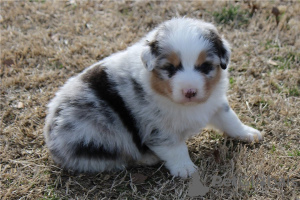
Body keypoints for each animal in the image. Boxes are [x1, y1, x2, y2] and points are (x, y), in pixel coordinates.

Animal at [43, 17, 262, 178]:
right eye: (170, 68)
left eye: (205, 66)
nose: (190, 92)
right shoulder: (158, 127)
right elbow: (175, 147)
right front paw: (185, 169)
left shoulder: (214, 103)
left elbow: (230, 120)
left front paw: (248, 133)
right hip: (97, 130)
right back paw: (148, 158)